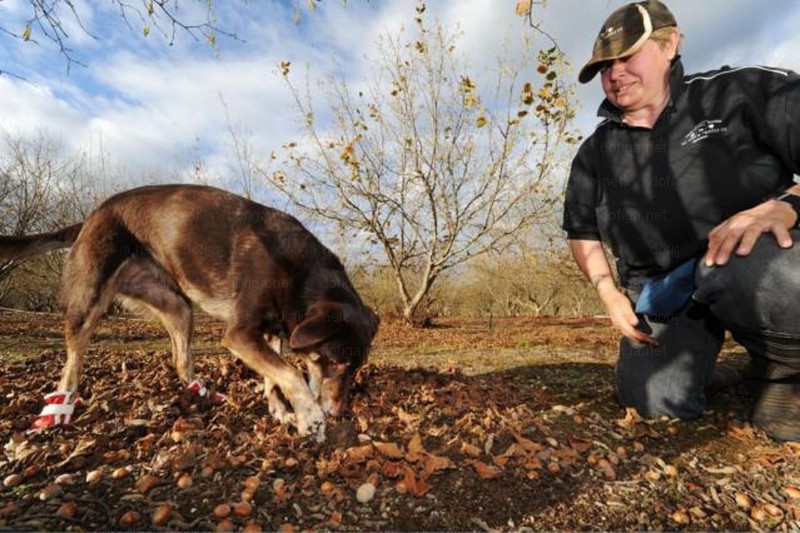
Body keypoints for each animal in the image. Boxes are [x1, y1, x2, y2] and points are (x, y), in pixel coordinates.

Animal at [0, 184, 378, 440]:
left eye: (357, 368)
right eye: (337, 363)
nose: (339, 412)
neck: (301, 273)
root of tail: (89, 219)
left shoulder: (270, 333)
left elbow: (275, 376)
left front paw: (282, 411)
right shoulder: (240, 334)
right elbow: (290, 373)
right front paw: (310, 418)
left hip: (178, 306)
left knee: (181, 360)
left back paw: (204, 393)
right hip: (89, 302)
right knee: (71, 364)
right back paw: (58, 411)